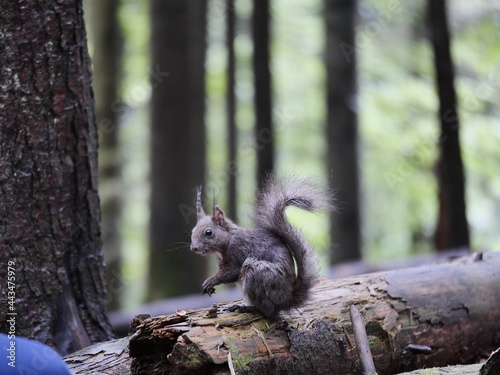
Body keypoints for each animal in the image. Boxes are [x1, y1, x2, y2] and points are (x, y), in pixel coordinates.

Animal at [188, 176, 332, 320]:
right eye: (192, 230)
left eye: (208, 232)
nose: (193, 248)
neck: (228, 239)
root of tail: (286, 300)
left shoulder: (238, 250)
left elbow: (232, 272)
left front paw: (210, 281)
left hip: (258, 273)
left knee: (268, 311)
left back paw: (250, 309)